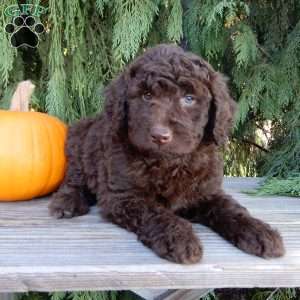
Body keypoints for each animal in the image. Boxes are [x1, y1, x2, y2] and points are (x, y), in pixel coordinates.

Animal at [48, 43, 284, 264]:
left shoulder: (206, 192)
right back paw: (67, 203)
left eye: (189, 98)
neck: (169, 162)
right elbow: (156, 213)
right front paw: (180, 238)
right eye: (146, 95)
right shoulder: (124, 196)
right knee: (75, 179)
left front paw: (259, 231)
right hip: (79, 141)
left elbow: (230, 209)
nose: (160, 136)